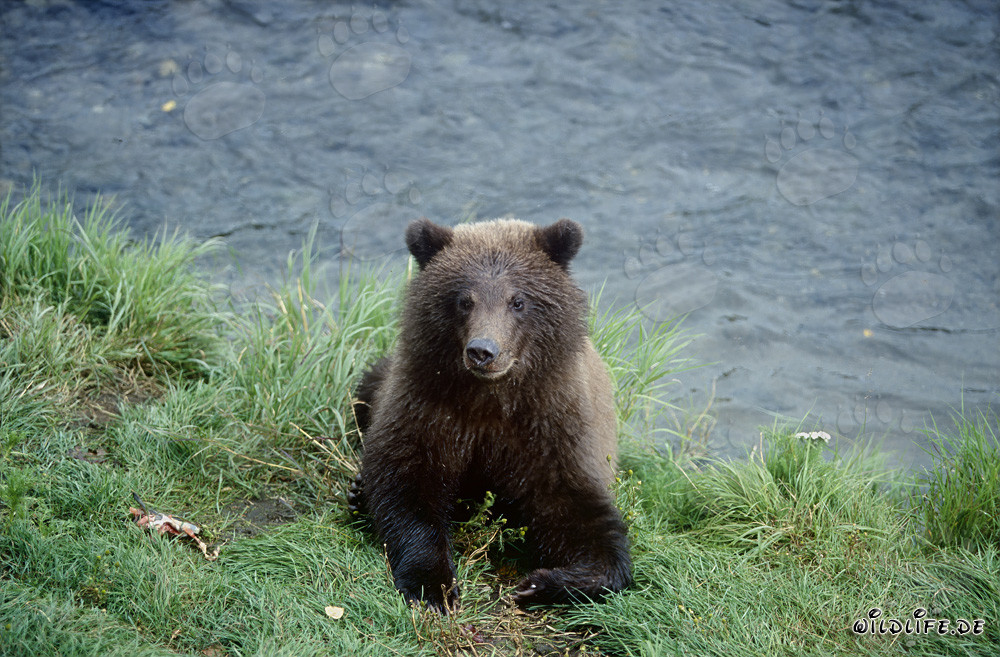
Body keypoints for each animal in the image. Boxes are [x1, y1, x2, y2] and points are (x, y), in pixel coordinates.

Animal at [349, 217, 631, 610]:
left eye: (518, 300)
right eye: (464, 300)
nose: (483, 351)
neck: (491, 398)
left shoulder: (552, 427)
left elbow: (578, 514)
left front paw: (544, 582)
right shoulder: (426, 407)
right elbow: (407, 487)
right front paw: (434, 586)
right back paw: (357, 494)